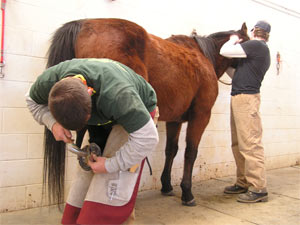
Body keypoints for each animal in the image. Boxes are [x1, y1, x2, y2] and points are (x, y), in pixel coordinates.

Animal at [42, 18, 248, 207]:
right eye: (249, 41)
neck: (204, 57)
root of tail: (82, 24)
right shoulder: (201, 115)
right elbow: (190, 152)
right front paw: (187, 192)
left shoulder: (175, 120)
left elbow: (171, 150)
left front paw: (167, 185)